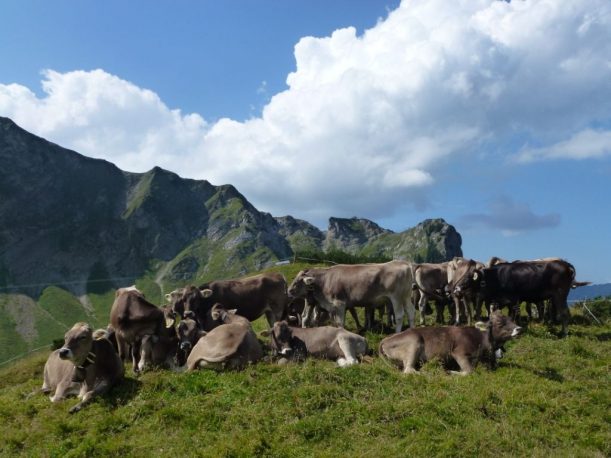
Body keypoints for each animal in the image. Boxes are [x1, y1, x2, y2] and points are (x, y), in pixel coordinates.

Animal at [288, 262, 416, 332]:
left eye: (298, 281)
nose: (289, 291)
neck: (325, 280)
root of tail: (403, 263)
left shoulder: (339, 303)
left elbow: (340, 323)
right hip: (406, 296)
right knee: (410, 312)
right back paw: (411, 330)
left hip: (396, 297)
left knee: (399, 315)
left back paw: (397, 333)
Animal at [380, 312, 524, 376]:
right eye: (500, 323)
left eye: (512, 320)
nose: (519, 329)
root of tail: (385, 340)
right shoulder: (458, 352)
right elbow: (468, 371)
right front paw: (452, 371)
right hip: (414, 342)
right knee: (409, 370)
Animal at [454, 258, 588, 336]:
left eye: (467, 278)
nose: (456, 288)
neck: (496, 277)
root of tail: (566, 264)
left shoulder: (514, 299)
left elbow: (514, 315)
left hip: (560, 295)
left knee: (564, 313)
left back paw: (564, 334)